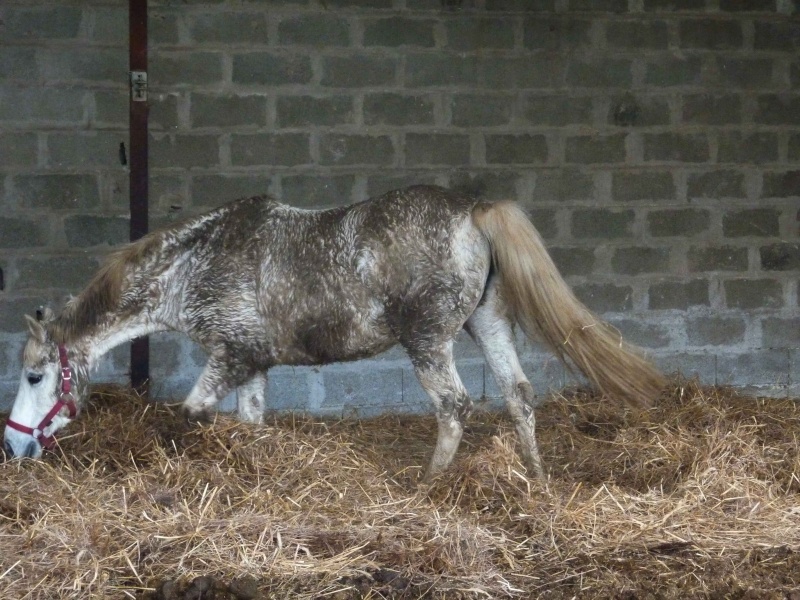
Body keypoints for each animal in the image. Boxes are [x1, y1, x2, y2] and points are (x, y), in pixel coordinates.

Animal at [1, 185, 664, 480]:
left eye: (35, 375)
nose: (13, 447)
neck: (194, 266)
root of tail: (473, 210)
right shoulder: (252, 365)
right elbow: (251, 425)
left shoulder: (228, 358)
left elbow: (187, 416)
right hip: (488, 324)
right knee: (519, 396)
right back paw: (536, 479)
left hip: (428, 342)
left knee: (455, 406)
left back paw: (430, 486)